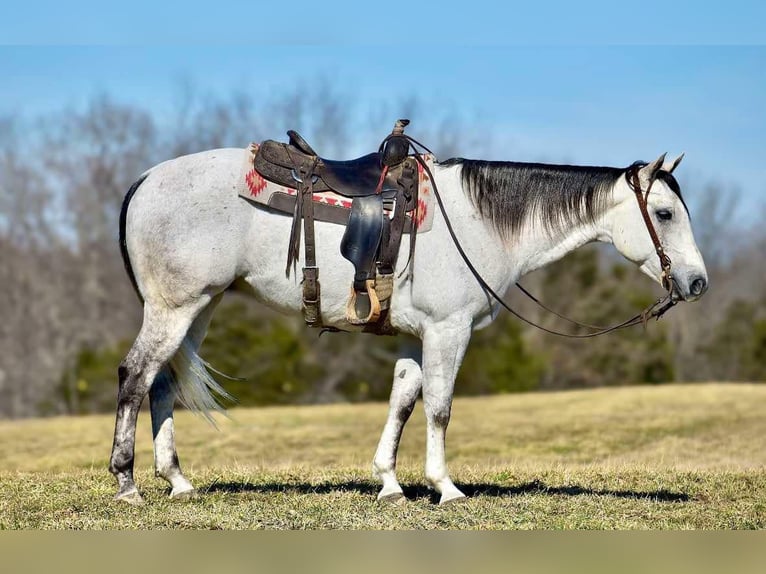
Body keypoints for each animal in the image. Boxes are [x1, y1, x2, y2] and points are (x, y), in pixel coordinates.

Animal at [108, 142, 708, 506]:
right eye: (664, 214)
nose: (698, 283)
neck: (480, 223)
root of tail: (145, 180)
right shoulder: (449, 331)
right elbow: (439, 409)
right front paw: (446, 488)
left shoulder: (419, 338)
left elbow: (402, 402)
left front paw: (390, 484)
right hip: (174, 308)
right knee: (135, 376)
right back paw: (127, 483)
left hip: (199, 308)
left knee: (162, 383)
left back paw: (178, 482)